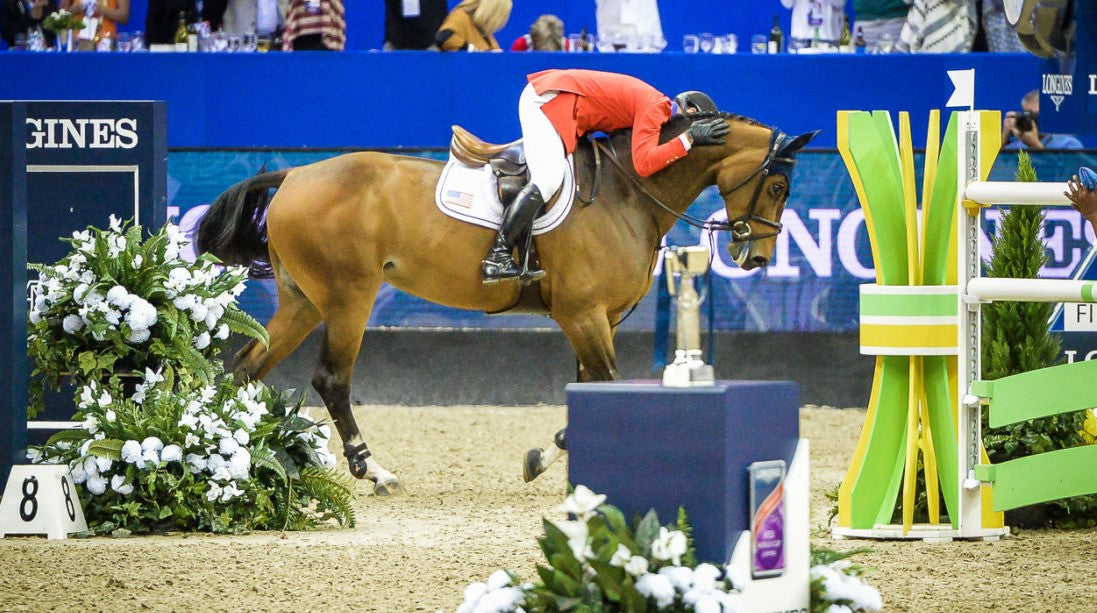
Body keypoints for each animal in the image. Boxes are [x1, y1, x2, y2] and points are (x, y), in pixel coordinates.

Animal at [196, 111, 819, 494]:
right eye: (779, 187)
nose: (755, 256)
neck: (626, 193)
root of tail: (295, 172)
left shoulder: (598, 320)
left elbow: (588, 389)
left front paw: (556, 463)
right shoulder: (582, 316)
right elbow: (605, 382)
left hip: (304, 302)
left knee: (246, 369)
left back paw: (236, 458)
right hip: (349, 297)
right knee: (331, 379)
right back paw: (373, 470)